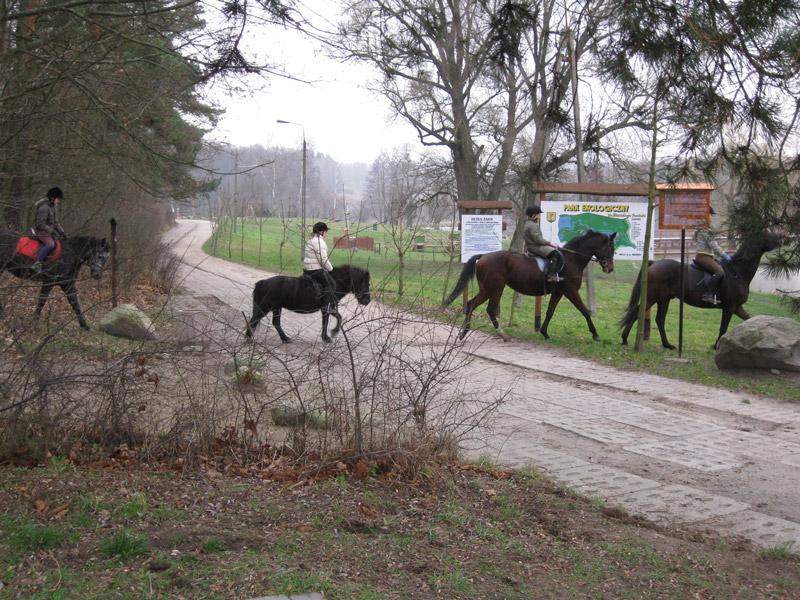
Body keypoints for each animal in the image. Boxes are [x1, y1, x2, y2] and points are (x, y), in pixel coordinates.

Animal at [244, 266, 372, 344]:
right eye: (366, 283)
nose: (368, 301)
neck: (336, 282)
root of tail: (264, 282)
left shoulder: (328, 309)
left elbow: (329, 321)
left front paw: (327, 336)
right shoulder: (327, 308)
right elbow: (335, 319)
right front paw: (332, 334)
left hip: (276, 307)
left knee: (275, 323)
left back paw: (285, 339)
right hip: (266, 306)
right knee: (254, 320)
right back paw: (248, 338)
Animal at [444, 231, 620, 342]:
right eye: (611, 248)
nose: (610, 268)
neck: (572, 260)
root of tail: (483, 256)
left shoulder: (559, 292)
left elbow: (550, 312)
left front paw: (545, 333)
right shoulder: (570, 291)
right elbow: (584, 311)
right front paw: (596, 335)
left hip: (486, 289)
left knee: (471, 304)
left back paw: (464, 333)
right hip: (495, 288)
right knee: (491, 309)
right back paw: (502, 334)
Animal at [620, 231, 788, 352]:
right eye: (768, 235)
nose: (782, 239)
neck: (738, 272)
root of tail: (654, 263)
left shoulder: (737, 307)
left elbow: (748, 320)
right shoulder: (730, 306)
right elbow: (723, 327)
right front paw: (716, 346)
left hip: (664, 299)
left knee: (659, 320)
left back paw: (667, 345)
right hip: (652, 297)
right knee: (637, 312)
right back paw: (625, 338)